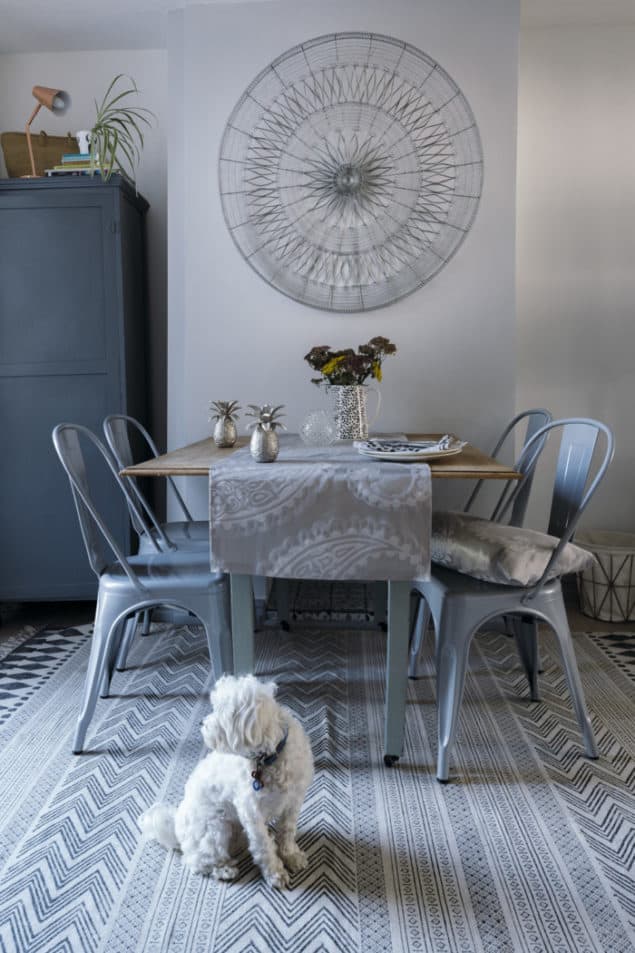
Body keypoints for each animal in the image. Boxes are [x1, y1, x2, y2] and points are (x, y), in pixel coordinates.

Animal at [139, 672, 314, 888]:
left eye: (221, 710)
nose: (201, 724)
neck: (269, 758)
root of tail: (176, 827)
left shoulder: (293, 802)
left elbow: (287, 832)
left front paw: (291, 856)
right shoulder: (251, 812)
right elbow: (263, 847)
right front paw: (275, 873)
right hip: (216, 829)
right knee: (197, 860)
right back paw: (224, 869)